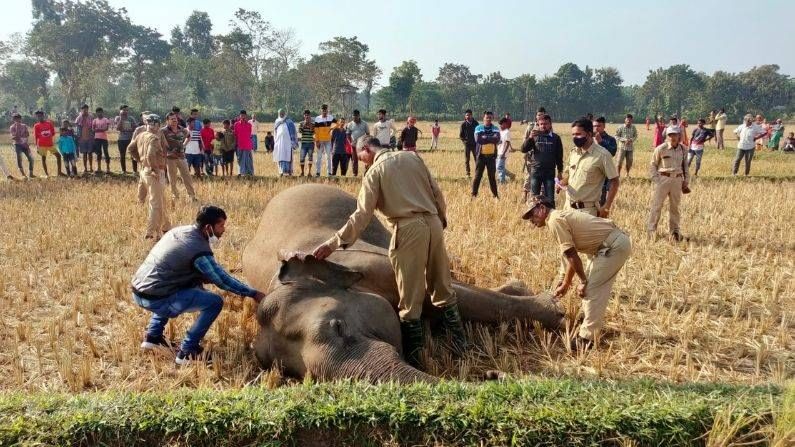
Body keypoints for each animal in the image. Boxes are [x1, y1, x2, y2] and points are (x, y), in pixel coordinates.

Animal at [243, 184, 564, 384]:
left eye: (338, 327)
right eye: (300, 375)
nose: (492, 374)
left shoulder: (367, 262)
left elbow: (443, 294)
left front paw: (558, 313)